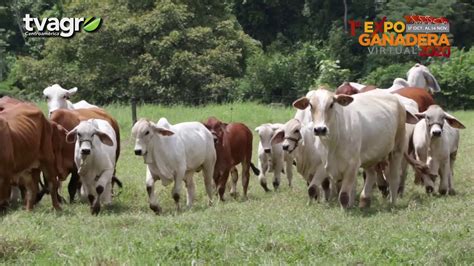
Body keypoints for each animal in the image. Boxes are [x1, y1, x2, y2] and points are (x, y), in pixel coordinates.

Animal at [292, 88, 426, 209]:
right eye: (310, 105)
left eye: (331, 104)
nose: (320, 129)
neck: (332, 142)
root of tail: (397, 100)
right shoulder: (326, 164)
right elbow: (315, 188)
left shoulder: (352, 165)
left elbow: (344, 195)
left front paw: (345, 210)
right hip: (371, 156)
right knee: (371, 174)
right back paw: (364, 200)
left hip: (396, 150)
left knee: (394, 177)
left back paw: (392, 203)